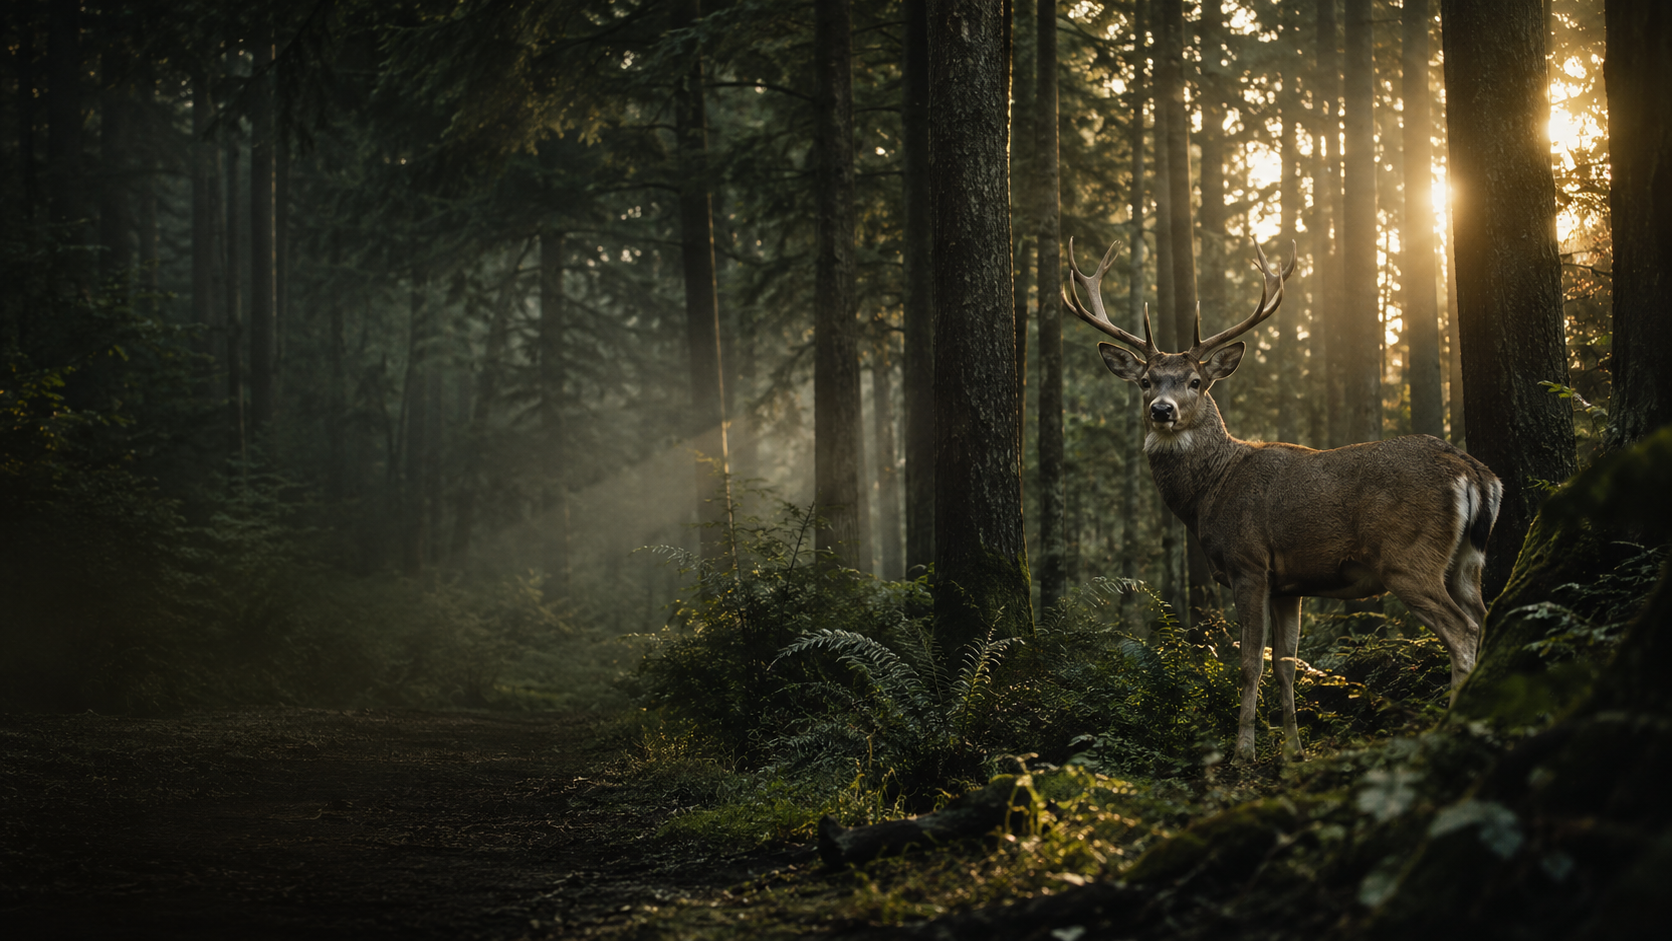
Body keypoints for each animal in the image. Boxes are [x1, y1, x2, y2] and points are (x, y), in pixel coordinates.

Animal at [1063, 239, 1501, 762]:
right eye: (1146, 380)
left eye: (1195, 381)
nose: (1161, 411)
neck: (1211, 491)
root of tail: (1473, 471)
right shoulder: (1289, 584)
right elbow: (1286, 664)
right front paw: (1293, 750)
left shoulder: (1249, 563)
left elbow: (1250, 662)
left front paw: (1243, 752)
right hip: (1467, 559)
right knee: (1486, 615)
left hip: (1408, 557)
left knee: (1462, 631)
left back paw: (1453, 725)